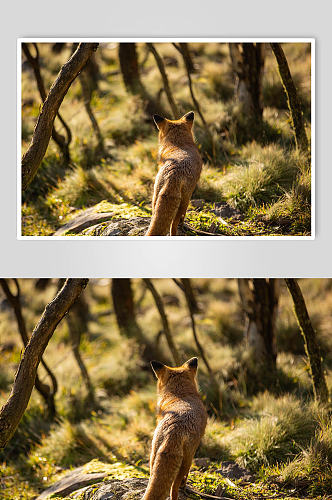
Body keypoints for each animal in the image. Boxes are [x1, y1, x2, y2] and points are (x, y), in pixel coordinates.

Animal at [143, 358, 208, 500]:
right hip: (186, 460)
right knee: (174, 487)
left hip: (153, 454)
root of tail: (174, 430)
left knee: (152, 477)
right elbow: (186, 475)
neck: (180, 394)